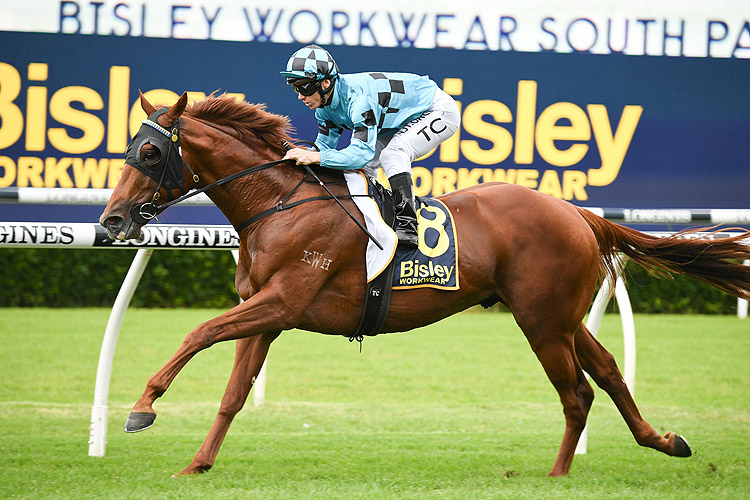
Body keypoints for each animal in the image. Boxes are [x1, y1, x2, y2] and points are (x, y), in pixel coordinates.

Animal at [100, 92, 750, 478]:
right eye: (130, 147)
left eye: (151, 152)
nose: (111, 221)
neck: (278, 203)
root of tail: (575, 211)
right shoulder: (268, 313)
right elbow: (234, 392)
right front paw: (196, 465)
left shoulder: (281, 301)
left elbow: (198, 332)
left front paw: (141, 409)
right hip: (558, 317)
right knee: (609, 371)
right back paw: (662, 441)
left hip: (542, 321)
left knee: (577, 393)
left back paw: (558, 477)